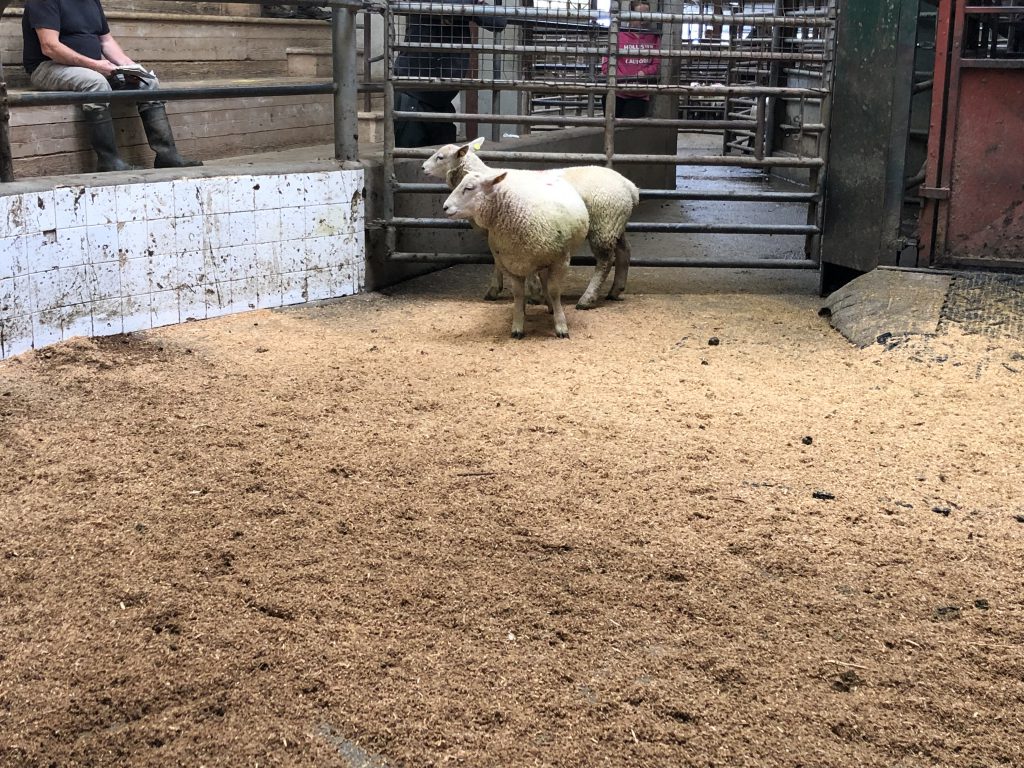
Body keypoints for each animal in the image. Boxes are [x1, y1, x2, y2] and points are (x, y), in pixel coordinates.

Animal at [423, 139, 640, 309]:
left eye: (440, 157)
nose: (423, 168)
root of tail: (629, 186)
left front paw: (530, 293)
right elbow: (498, 261)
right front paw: (501, 290)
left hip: (603, 224)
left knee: (605, 261)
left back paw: (588, 299)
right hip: (614, 224)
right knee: (624, 251)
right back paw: (616, 290)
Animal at [443, 169, 589, 339]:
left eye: (469, 188)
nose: (445, 207)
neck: (518, 214)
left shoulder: (560, 260)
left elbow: (554, 291)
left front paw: (561, 326)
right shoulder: (510, 264)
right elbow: (518, 295)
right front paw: (518, 325)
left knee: (546, 281)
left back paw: (551, 307)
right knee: (541, 278)